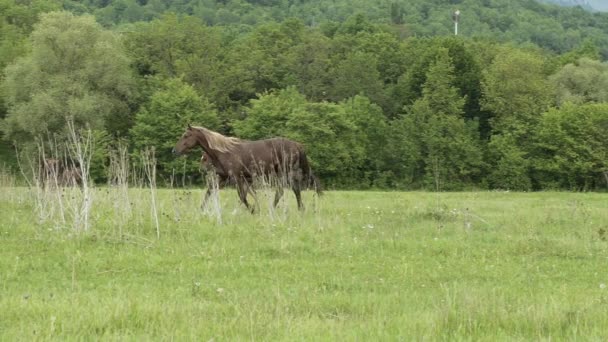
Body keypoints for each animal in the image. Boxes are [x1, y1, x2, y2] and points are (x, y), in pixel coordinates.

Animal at [173, 125, 320, 211]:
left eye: (186, 136)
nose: (174, 151)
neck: (224, 152)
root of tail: (297, 145)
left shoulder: (237, 177)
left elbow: (243, 196)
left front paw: (253, 210)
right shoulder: (224, 178)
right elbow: (209, 192)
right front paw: (201, 210)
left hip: (286, 172)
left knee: (292, 190)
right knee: (285, 191)